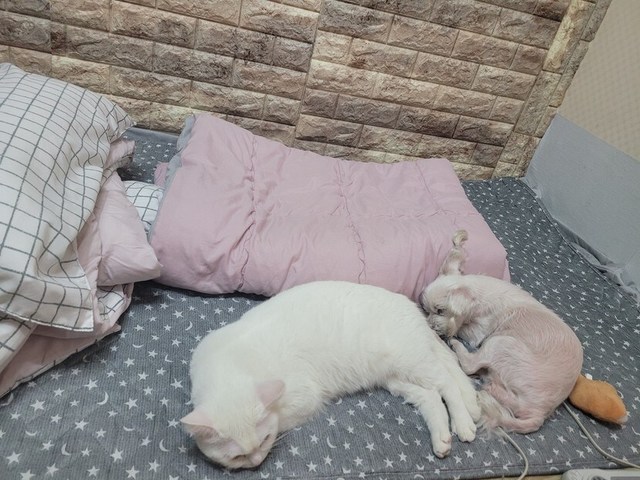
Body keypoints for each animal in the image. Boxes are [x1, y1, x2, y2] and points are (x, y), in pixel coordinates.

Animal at [181, 280, 481, 469]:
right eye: (237, 457)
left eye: (264, 440)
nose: (255, 463)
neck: (231, 369)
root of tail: (413, 309)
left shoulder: (305, 399)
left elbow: (280, 420)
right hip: (396, 378)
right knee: (431, 396)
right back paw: (442, 439)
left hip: (413, 361)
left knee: (447, 384)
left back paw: (463, 423)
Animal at [420, 230, 584, 433]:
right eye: (426, 310)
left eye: (440, 310)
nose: (431, 325)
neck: (478, 294)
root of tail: (539, 413)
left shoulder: (478, 331)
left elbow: (465, 332)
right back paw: (489, 389)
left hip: (501, 342)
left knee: (469, 365)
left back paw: (456, 347)